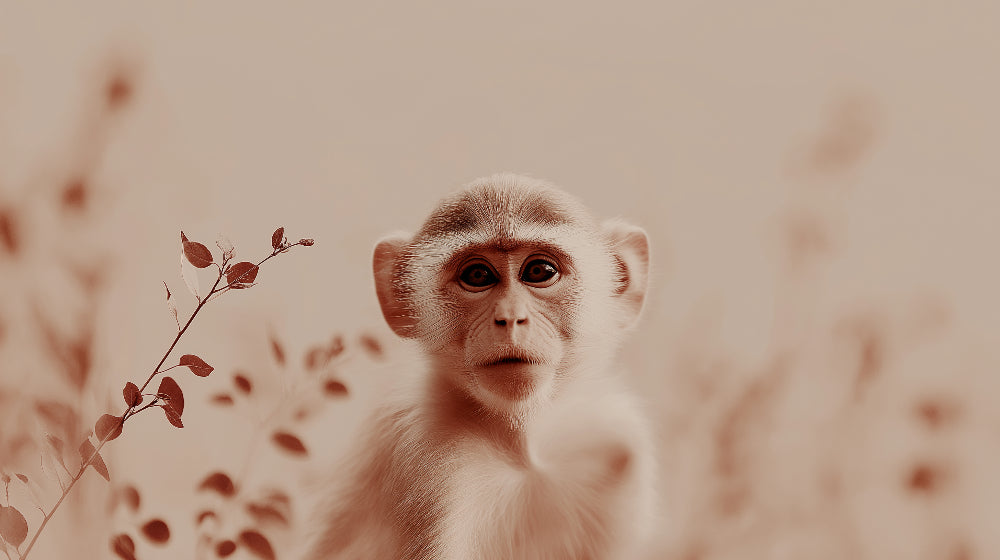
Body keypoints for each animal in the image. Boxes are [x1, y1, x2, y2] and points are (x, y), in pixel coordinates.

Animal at [303, 173, 656, 559]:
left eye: (540, 271)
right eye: (477, 275)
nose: (511, 318)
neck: (522, 449)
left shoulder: (617, 442)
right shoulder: (432, 464)